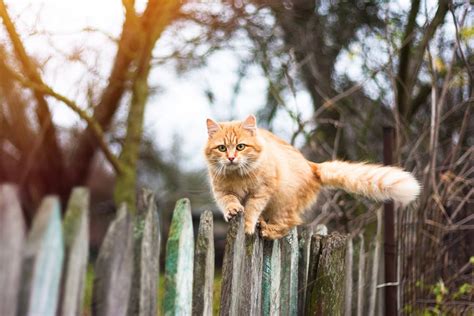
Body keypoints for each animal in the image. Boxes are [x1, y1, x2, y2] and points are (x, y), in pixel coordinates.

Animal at [206, 115, 420, 238]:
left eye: (241, 146)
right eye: (222, 148)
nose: (231, 158)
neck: (237, 175)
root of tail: (311, 166)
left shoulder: (262, 191)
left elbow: (251, 209)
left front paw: (249, 226)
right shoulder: (221, 192)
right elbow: (230, 201)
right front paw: (233, 210)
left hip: (283, 203)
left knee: (289, 223)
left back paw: (267, 230)